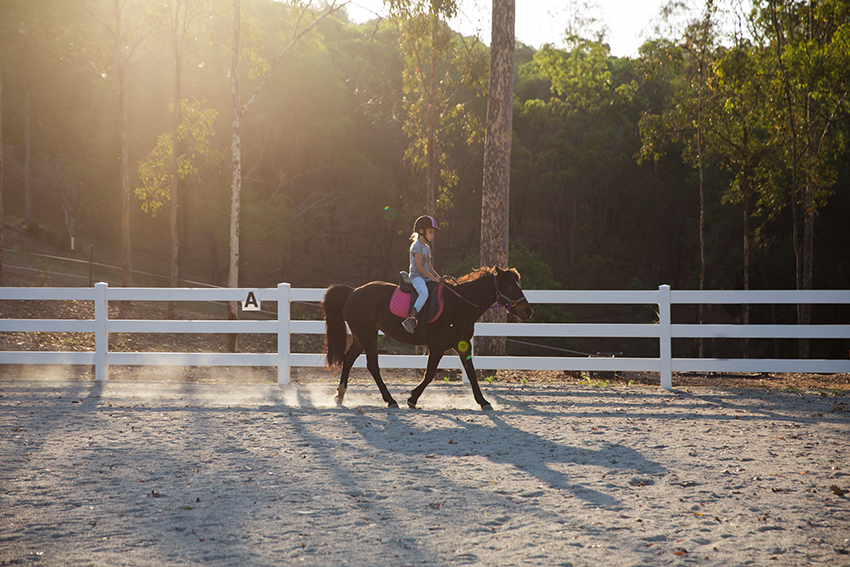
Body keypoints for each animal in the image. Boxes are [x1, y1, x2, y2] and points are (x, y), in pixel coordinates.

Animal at [322, 268, 528, 410]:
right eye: (511, 286)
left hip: (361, 336)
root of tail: (353, 291)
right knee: (372, 366)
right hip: (369, 336)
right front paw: (412, 398)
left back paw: (340, 395)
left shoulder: (462, 346)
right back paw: (390, 400)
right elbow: (429, 374)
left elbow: (471, 373)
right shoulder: (436, 347)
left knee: (349, 358)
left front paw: (483, 402)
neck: (458, 305)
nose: (528, 311)